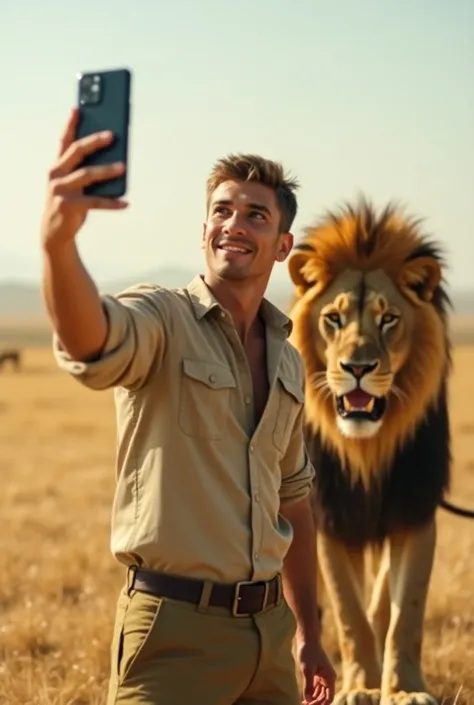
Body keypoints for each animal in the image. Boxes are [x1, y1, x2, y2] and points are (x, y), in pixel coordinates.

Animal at [286, 199, 452, 704]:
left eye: (388, 318)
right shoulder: (330, 516)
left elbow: (405, 614)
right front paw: (359, 687)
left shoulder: (415, 510)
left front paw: (404, 689)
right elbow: (349, 614)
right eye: (334, 319)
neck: (369, 447)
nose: (356, 367)